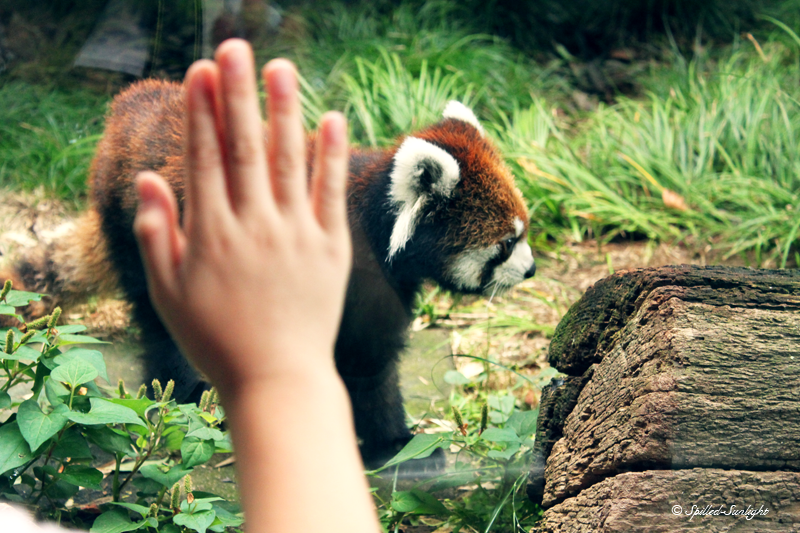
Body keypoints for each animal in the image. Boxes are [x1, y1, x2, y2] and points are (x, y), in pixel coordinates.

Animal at [3, 78, 536, 470]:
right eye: (506, 244)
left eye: (524, 231)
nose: (530, 270)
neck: (374, 223)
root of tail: (128, 106)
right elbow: (365, 366)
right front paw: (394, 449)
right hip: (141, 234)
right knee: (159, 323)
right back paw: (183, 390)